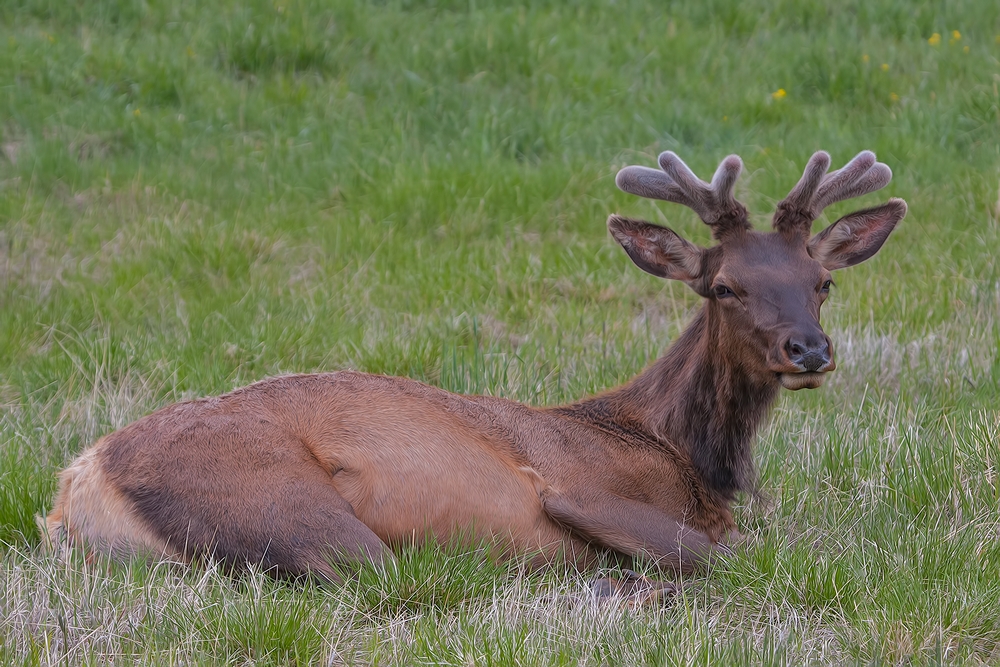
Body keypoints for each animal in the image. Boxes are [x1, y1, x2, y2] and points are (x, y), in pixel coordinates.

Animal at [45, 150, 908, 600]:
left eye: (821, 281)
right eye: (724, 286)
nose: (808, 349)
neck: (684, 456)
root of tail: (77, 485)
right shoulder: (577, 482)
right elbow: (751, 554)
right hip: (283, 502)